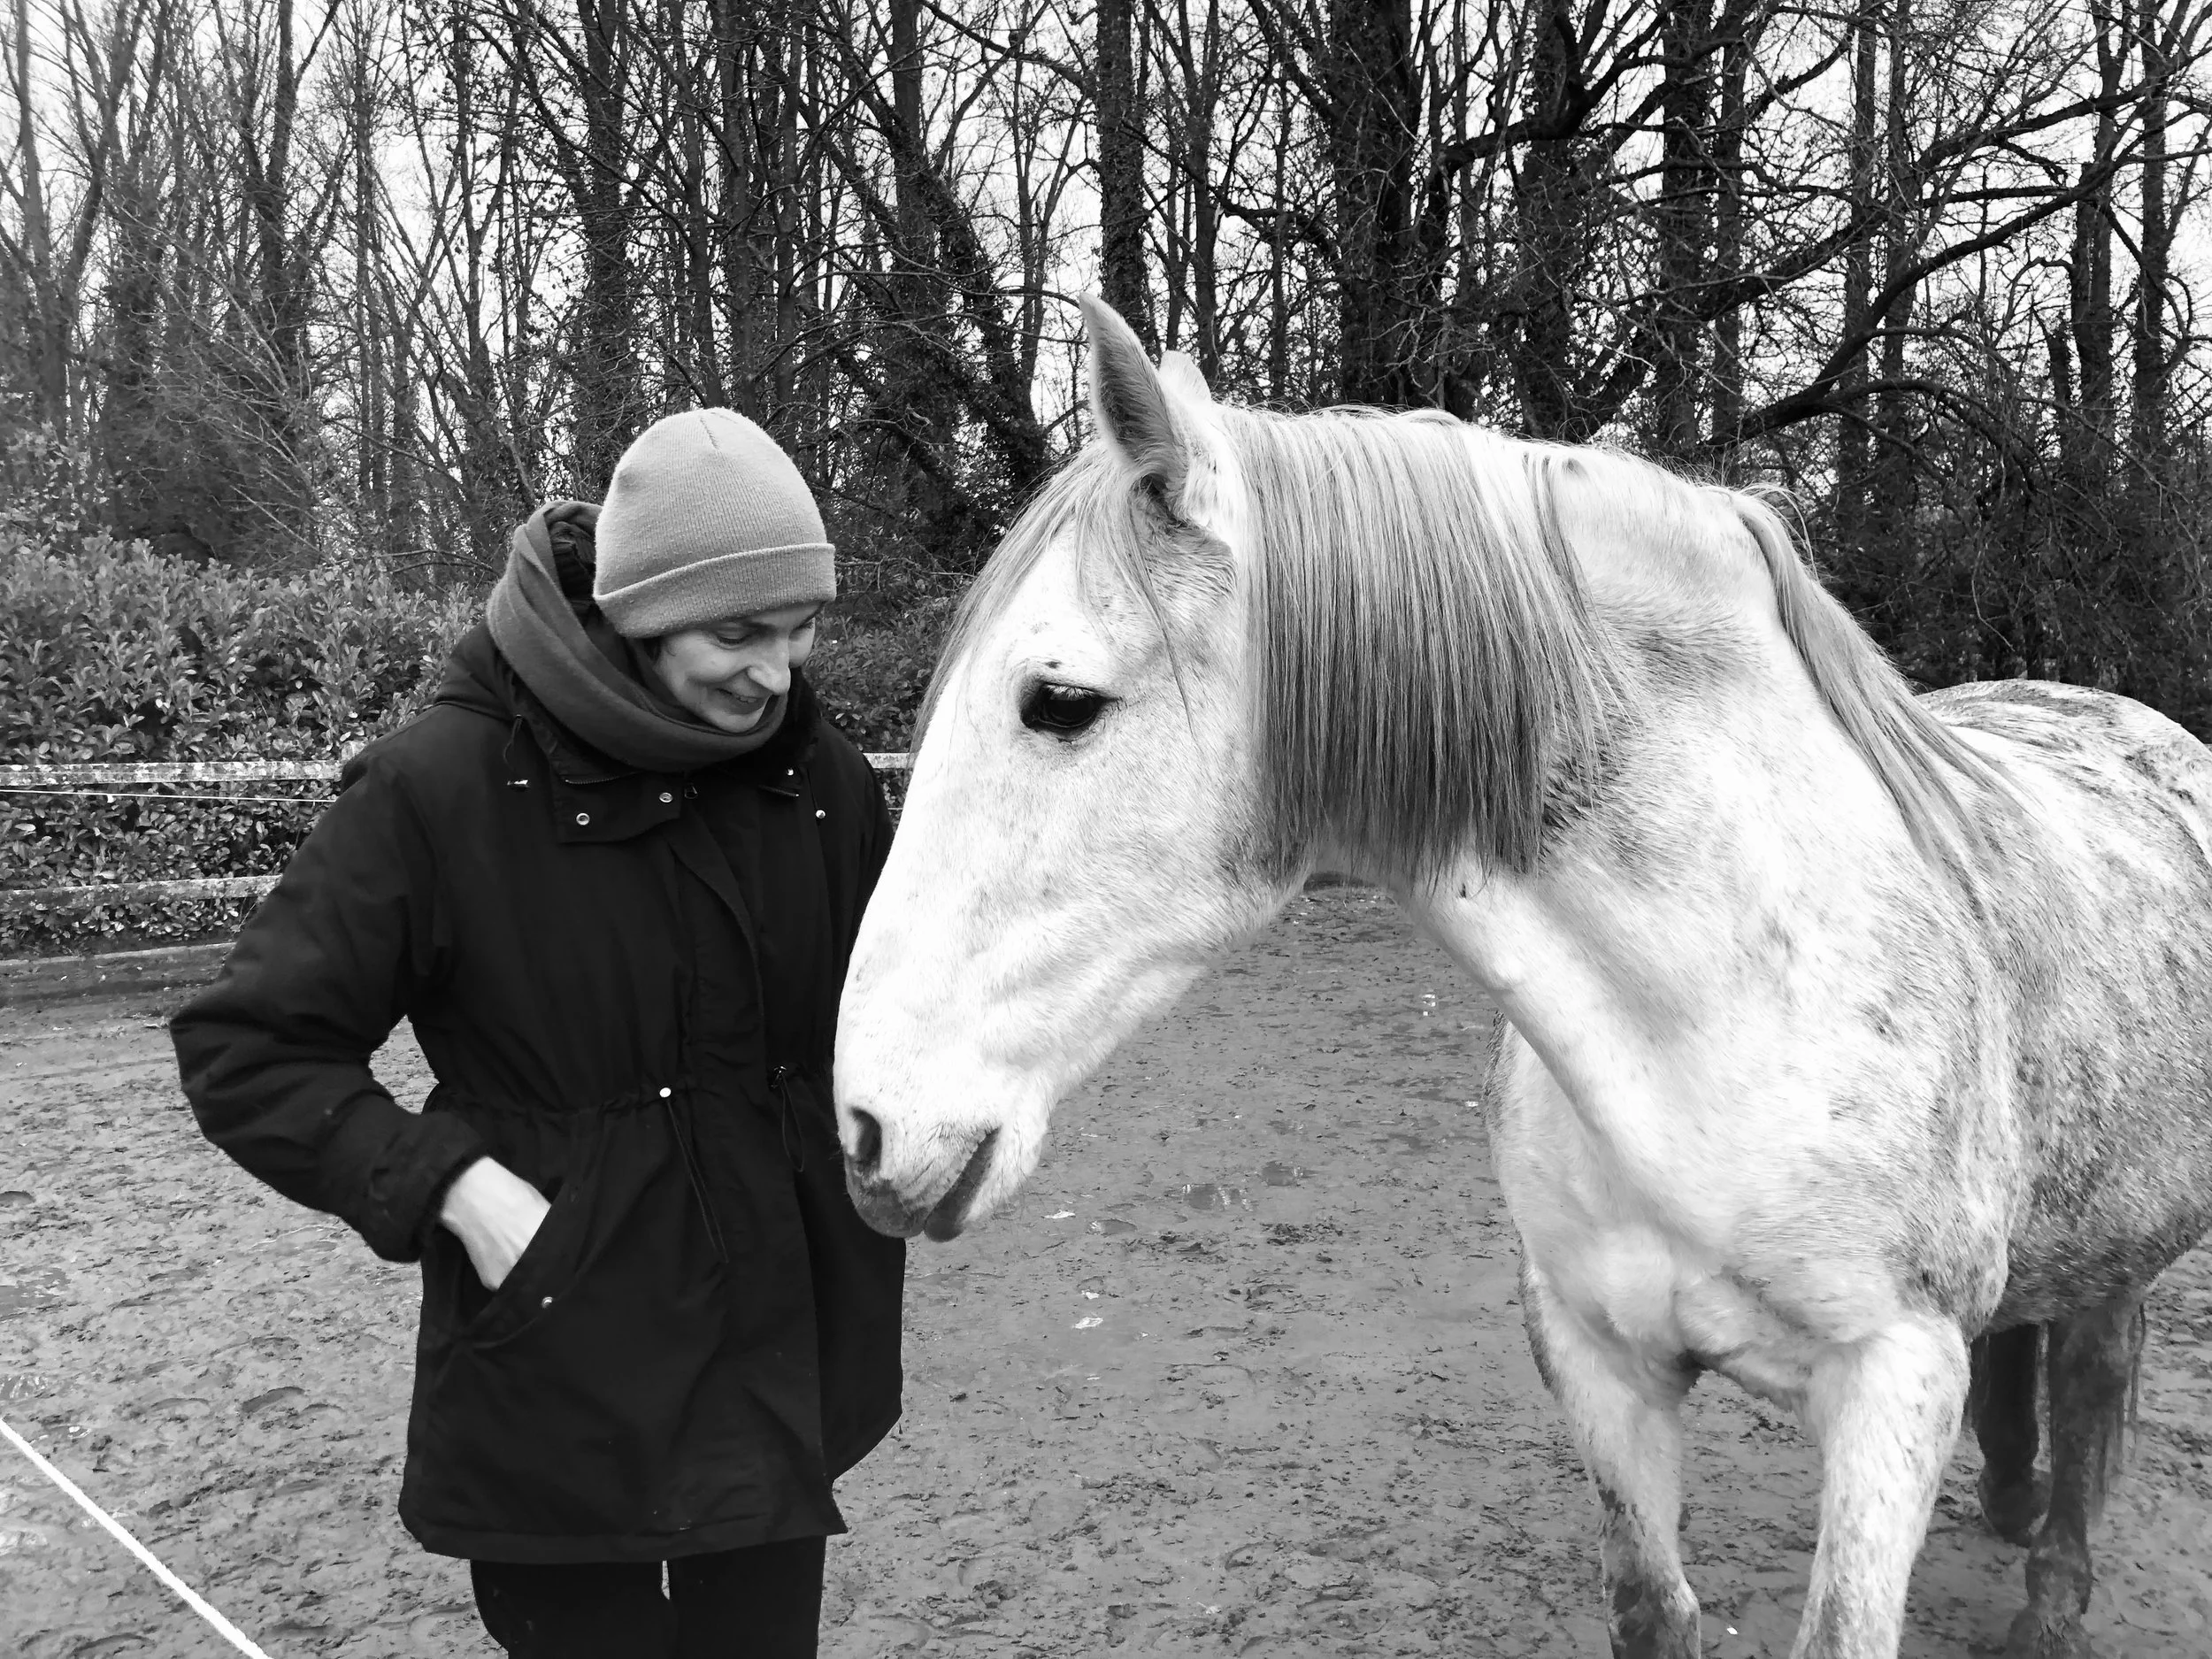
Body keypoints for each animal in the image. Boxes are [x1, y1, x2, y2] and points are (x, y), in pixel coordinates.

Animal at [832, 296, 2212, 1659]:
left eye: (1058, 699)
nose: (865, 1129)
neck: (1715, 1022)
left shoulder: (1894, 1381)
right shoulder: (1595, 1352)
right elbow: (1652, 1604)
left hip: (2123, 1262)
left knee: (2093, 1385)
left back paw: (2050, 1589)